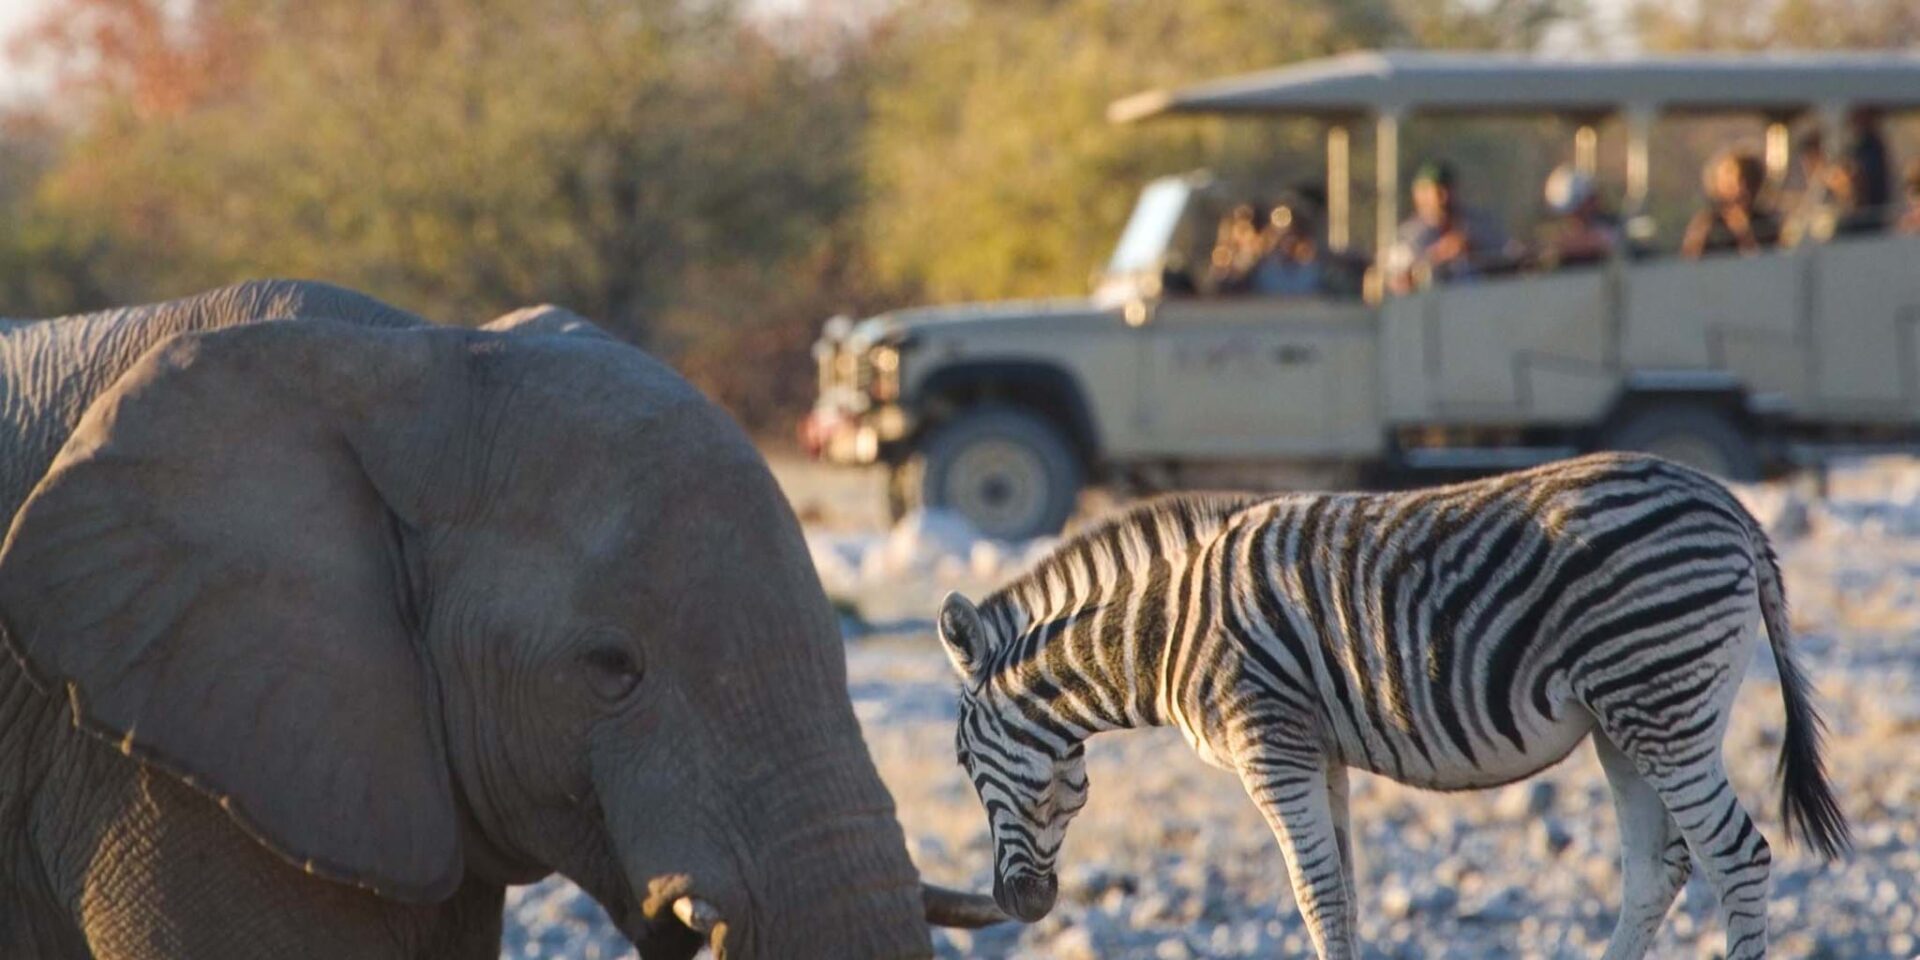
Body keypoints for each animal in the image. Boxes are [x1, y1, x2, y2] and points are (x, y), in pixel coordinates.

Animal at [936, 453, 1848, 959]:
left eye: (963, 763)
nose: (1019, 906)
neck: (1167, 631)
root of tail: (1733, 509)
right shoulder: (1317, 750)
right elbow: (1342, 891)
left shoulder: (1269, 744)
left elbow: (1316, 894)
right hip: (1625, 722)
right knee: (1658, 868)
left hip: (1660, 702)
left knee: (1736, 856)